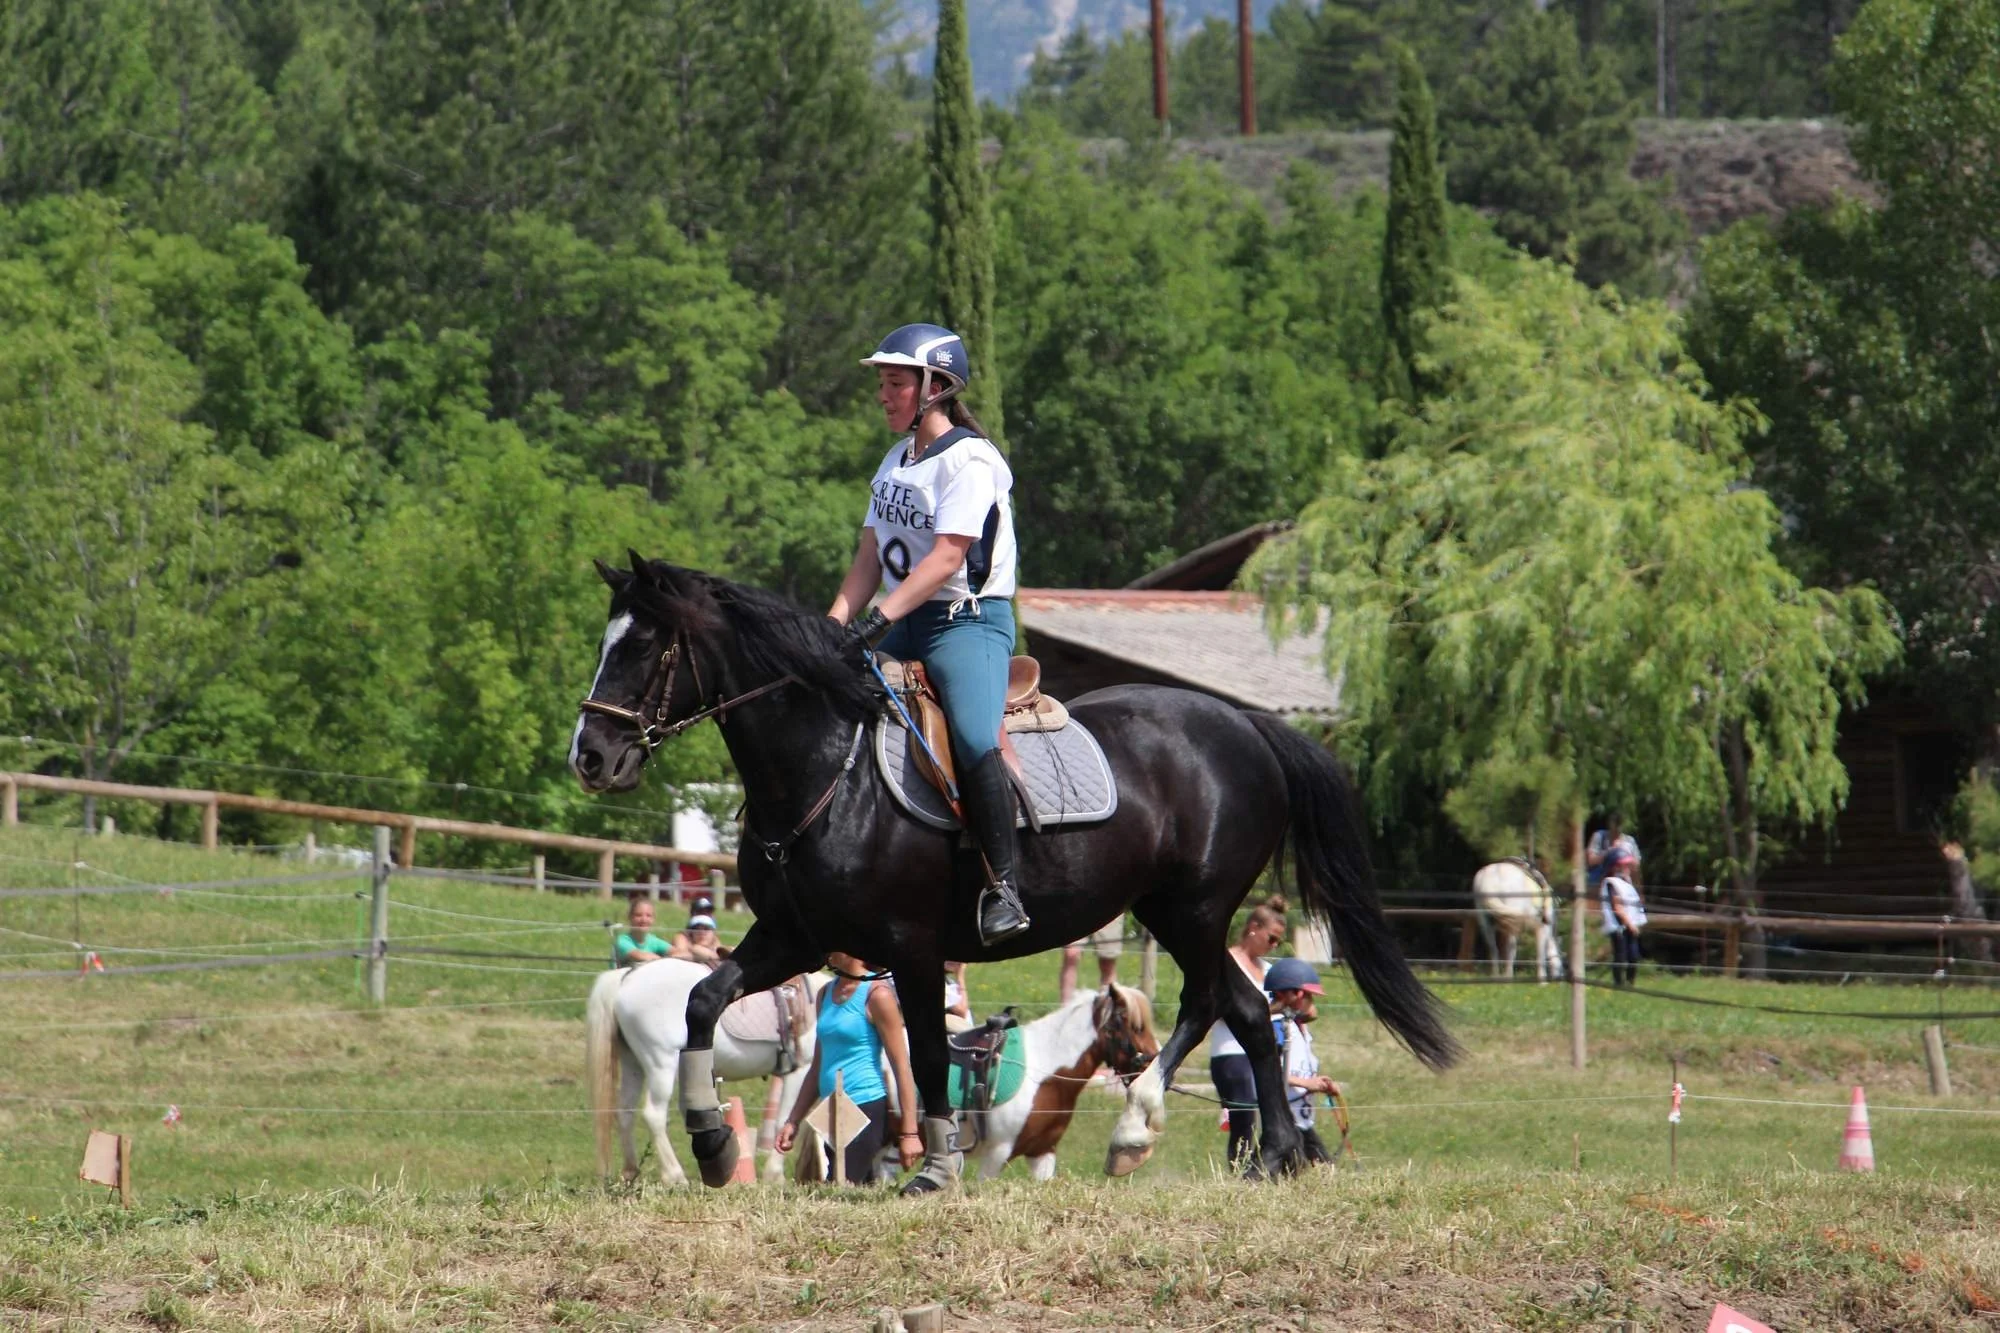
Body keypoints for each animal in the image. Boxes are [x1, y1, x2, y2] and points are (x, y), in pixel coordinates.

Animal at [585, 958, 825, 1185]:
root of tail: (627, 976)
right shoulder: (800, 1071)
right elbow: (786, 1120)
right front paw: (775, 1175)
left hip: (633, 1063)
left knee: (625, 1112)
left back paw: (631, 1171)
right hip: (661, 1063)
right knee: (653, 1115)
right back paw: (674, 1175)